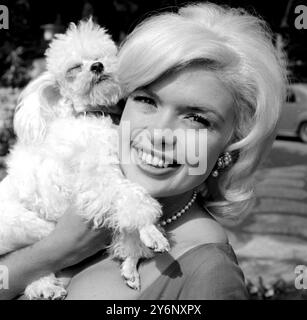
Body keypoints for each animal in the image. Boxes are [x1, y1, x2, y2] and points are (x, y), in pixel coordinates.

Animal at [0, 19, 170, 300]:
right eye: (74, 68)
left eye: (101, 56)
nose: (97, 66)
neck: (88, 114)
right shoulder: (98, 178)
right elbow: (133, 196)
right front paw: (150, 230)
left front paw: (132, 259)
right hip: (31, 227)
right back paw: (45, 286)